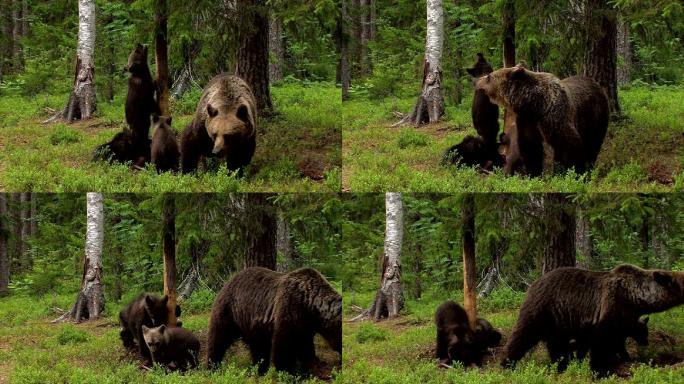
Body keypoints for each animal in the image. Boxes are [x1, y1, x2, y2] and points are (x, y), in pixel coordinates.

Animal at [204, 268, 340, 376]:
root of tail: (228, 281)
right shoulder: (289, 310)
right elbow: (284, 345)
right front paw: (284, 372)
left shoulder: (305, 326)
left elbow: (305, 346)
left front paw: (315, 367)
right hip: (230, 311)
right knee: (218, 338)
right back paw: (212, 367)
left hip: (251, 324)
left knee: (258, 347)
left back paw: (259, 368)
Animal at [476, 65, 608, 177]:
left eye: (489, 76)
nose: (477, 81)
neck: (535, 104)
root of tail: (596, 84)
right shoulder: (527, 120)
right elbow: (531, 147)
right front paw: (534, 173)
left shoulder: (555, 117)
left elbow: (570, 146)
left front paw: (572, 173)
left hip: (595, 115)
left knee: (593, 143)